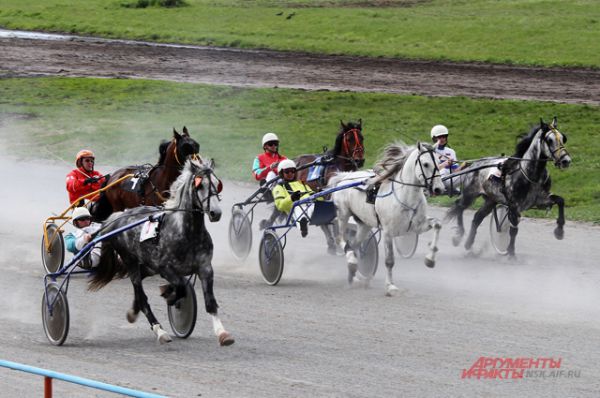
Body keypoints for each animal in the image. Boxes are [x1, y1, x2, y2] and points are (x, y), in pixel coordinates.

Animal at [90, 158, 233, 346]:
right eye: (200, 185)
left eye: (217, 184)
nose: (216, 213)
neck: (186, 232)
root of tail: (117, 217)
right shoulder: (165, 268)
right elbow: (180, 287)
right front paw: (171, 297)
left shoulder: (205, 268)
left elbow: (210, 302)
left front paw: (222, 333)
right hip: (131, 260)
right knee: (142, 297)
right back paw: (160, 330)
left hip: (148, 266)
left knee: (140, 287)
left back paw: (133, 312)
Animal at [332, 142, 446, 296]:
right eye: (426, 164)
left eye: (439, 163)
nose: (439, 189)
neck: (406, 197)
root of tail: (344, 177)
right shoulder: (388, 232)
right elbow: (389, 261)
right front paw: (391, 286)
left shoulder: (417, 226)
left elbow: (437, 224)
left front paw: (430, 259)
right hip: (343, 214)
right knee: (341, 239)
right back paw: (351, 261)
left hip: (364, 224)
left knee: (353, 245)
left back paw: (353, 275)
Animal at [448, 116, 568, 256]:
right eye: (549, 140)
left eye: (563, 138)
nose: (566, 160)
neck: (530, 174)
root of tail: (473, 164)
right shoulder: (514, 205)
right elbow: (513, 230)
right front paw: (511, 253)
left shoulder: (540, 200)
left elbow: (560, 201)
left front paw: (559, 231)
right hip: (470, 193)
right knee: (459, 206)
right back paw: (459, 235)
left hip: (491, 200)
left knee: (477, 217)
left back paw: (468, 243)